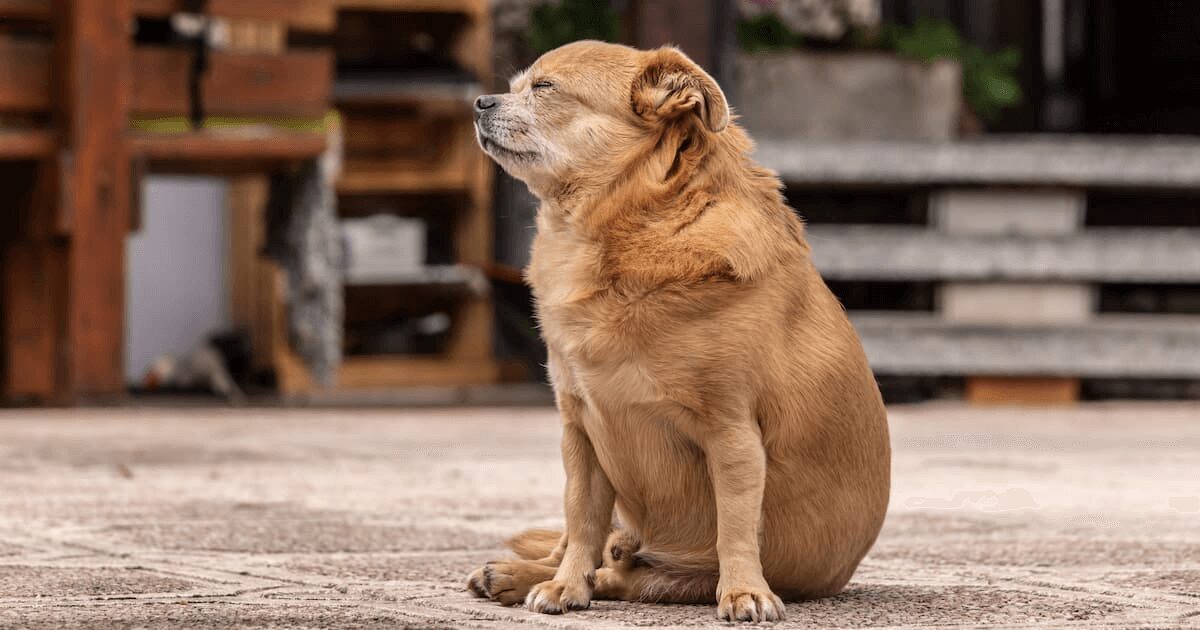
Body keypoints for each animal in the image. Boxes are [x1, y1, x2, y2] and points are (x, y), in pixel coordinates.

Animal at [465, 41, 892, 619]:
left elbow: (735, 525)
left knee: (627, 574)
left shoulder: (732, 436)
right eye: (513, 87)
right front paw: (564, 586)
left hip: (667, 566)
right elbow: (581, 520)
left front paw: (744, 591)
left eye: (545, 88)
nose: (480, 101)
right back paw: (516, 574)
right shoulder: (580, 435)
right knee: (584, 544)